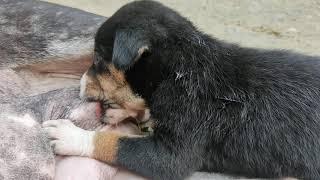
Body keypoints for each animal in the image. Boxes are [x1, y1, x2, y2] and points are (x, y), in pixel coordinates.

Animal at [43, 0, 320, 179]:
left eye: (99, 58)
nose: (79, 84)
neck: (179, 70)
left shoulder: (174, 150)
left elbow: (115, 143)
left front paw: (69, 135)